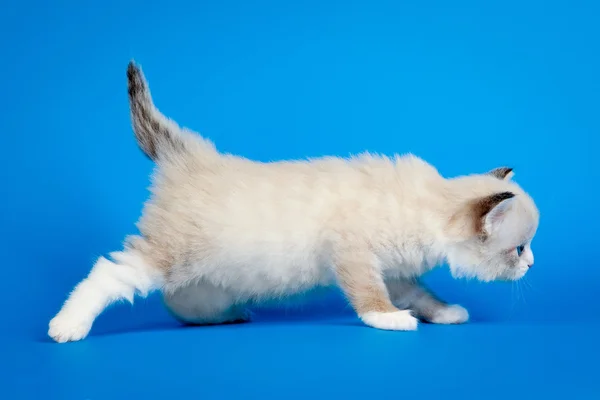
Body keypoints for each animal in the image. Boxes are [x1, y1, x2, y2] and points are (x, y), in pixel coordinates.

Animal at [48, 62, 540, 344]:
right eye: (519, 249)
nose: (533, 266)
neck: (425, 205)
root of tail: (191, 158)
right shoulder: (354, 253)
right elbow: (370, 295)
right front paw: (389, 320)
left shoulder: (396, 269)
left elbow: (421, 294)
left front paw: (443, 312)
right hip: (171, 253)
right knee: (110, 273)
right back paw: (68, 324)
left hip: (206, 276)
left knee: (180, 300)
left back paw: (222, 318)